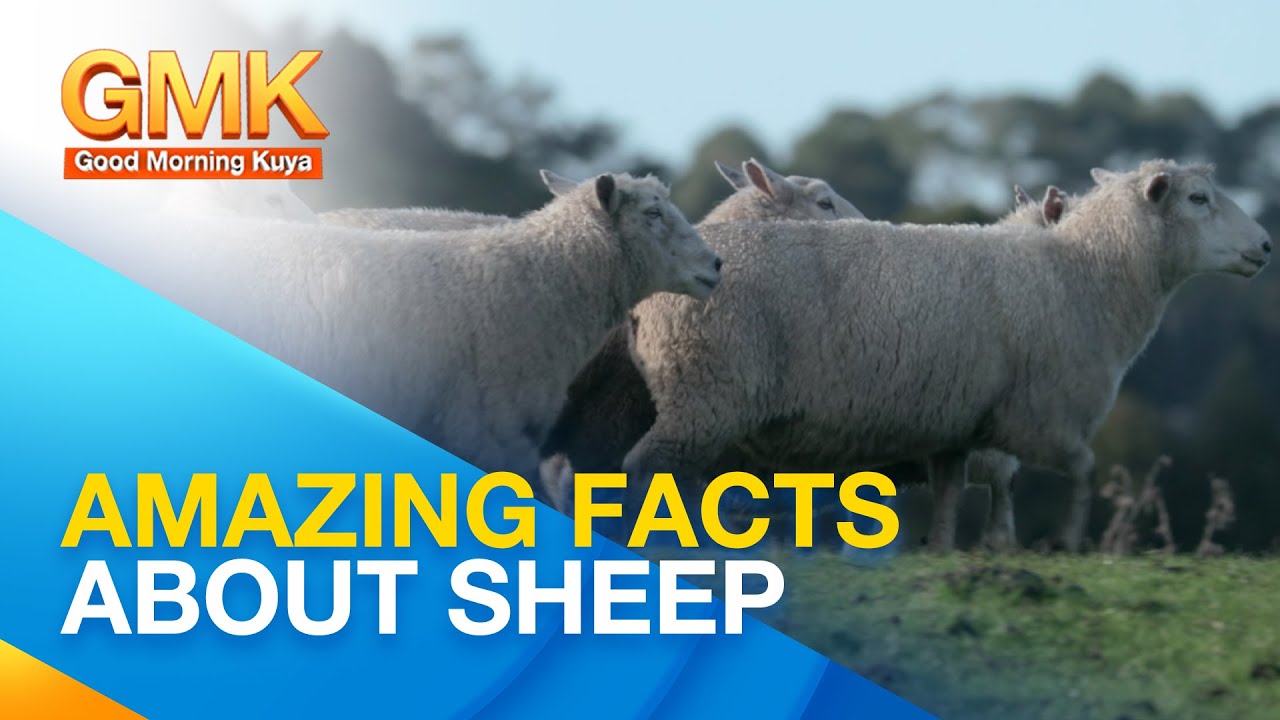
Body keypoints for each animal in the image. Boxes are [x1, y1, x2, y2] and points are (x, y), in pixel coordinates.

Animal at [622, 160, 1270, 552]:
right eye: (1198, 198)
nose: (1266, 245)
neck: (1082, 271)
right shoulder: (1037, 417)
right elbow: (1080, 472)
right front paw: (1064, 542)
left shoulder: (958, 420)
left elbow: (952, 496)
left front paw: (948, 551)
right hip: (704, 395)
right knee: (643, 471)